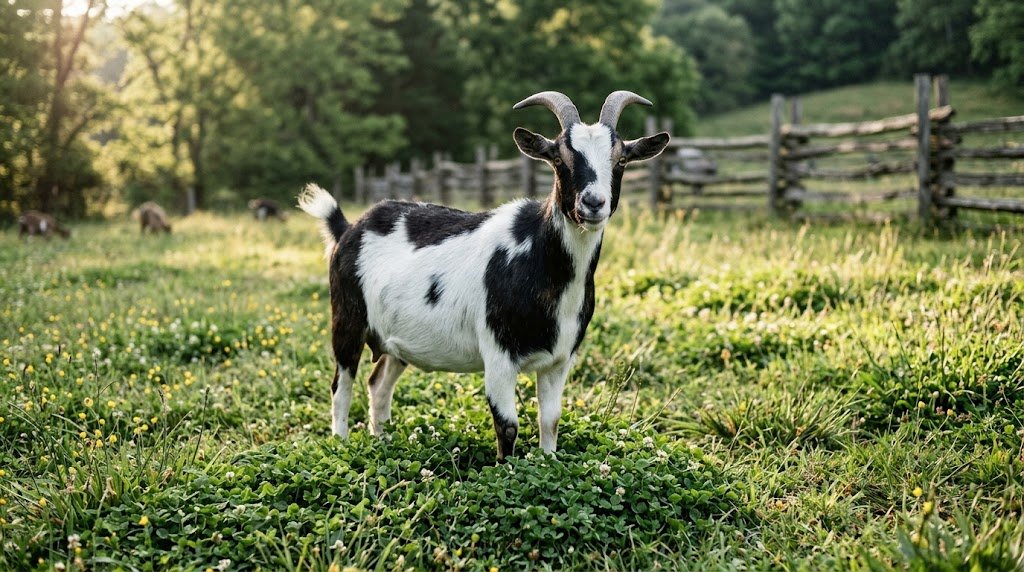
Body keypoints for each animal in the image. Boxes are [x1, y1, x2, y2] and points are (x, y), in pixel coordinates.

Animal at [298, 91, 669, 460]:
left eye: (621, 160)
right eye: (559, 159)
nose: (593, 203)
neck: (543, 264)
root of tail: (347, 228)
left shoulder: (560, 360)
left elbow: (550, 420)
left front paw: (548, 462)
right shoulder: (499, 354)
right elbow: (508, 425)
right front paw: (506, 468)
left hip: (394, 341)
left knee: (378, 384)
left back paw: (383, 441)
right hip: (347, 318)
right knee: (342, 384)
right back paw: (341, 444)